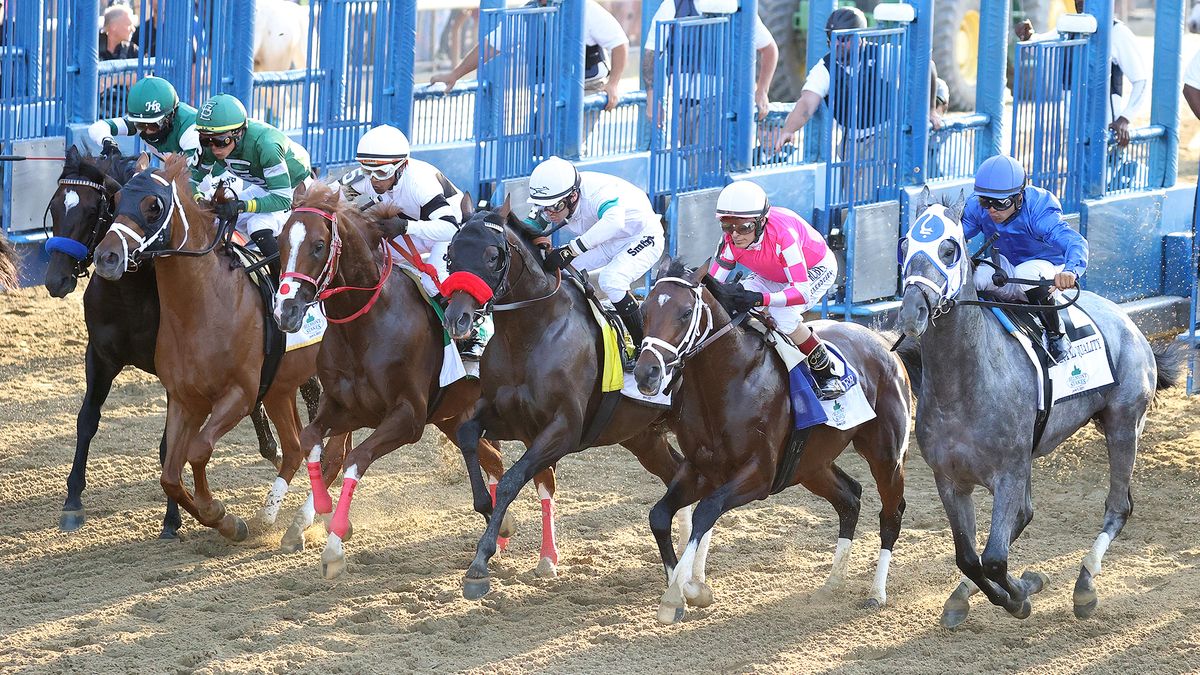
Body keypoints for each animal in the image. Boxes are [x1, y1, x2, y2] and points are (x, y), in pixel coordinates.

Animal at [45, 147, 321, 535]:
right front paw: (72, 501)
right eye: (55, 207)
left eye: (91, 210)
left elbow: (178, 449)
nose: (56, 279)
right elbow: (88, 421)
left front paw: (175, 520)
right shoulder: (102, 357)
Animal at [271, 181, 552, 576]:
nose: (286, 311)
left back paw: (546, 559)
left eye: (318, 245)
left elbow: (355, 458)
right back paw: (502, 531)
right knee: (494, 460)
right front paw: (318, 514)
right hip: (454, 416)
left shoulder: (408, 417)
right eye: (281, 242)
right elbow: (314, 441)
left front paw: (334, 546)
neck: (366, 325)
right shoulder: (346, 406)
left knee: (542, 479)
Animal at [441, 196, 691, 595]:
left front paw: (482, 559)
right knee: (677, 473)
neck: (530, 334)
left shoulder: (564, 429)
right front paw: (489, 513)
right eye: (450, 254)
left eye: (493, 255)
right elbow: (468, 436)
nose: (457, 318)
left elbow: (512, 479)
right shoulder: (506, 415)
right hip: (643, 437)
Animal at [638, 255, 907, 619]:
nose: (646, 372)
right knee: (849, 497)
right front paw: (679, 594)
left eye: (684, 312)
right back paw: (832, 584)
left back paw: (876, 593)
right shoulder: (699, 469)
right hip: (811, 463)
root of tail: (885, 345)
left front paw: (686, 591)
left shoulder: (759, 475)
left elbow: (706, 511)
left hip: (885, 455)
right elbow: (660, 516)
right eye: (644, 311)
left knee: (891, 514)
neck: (729, 380)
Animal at [892, 189, 1180, 624]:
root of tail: (1129, 323)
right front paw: (987, 591)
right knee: (1020, 520)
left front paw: (1022, 594)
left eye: (949, 249)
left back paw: (1085, 585)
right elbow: (969, 557)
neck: (964, 386)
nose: (913, 312)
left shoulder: (1008, 473)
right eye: (906, 244)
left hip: (1122, 424)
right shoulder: (950, 479)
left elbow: (994, 559)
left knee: (1118, 507)